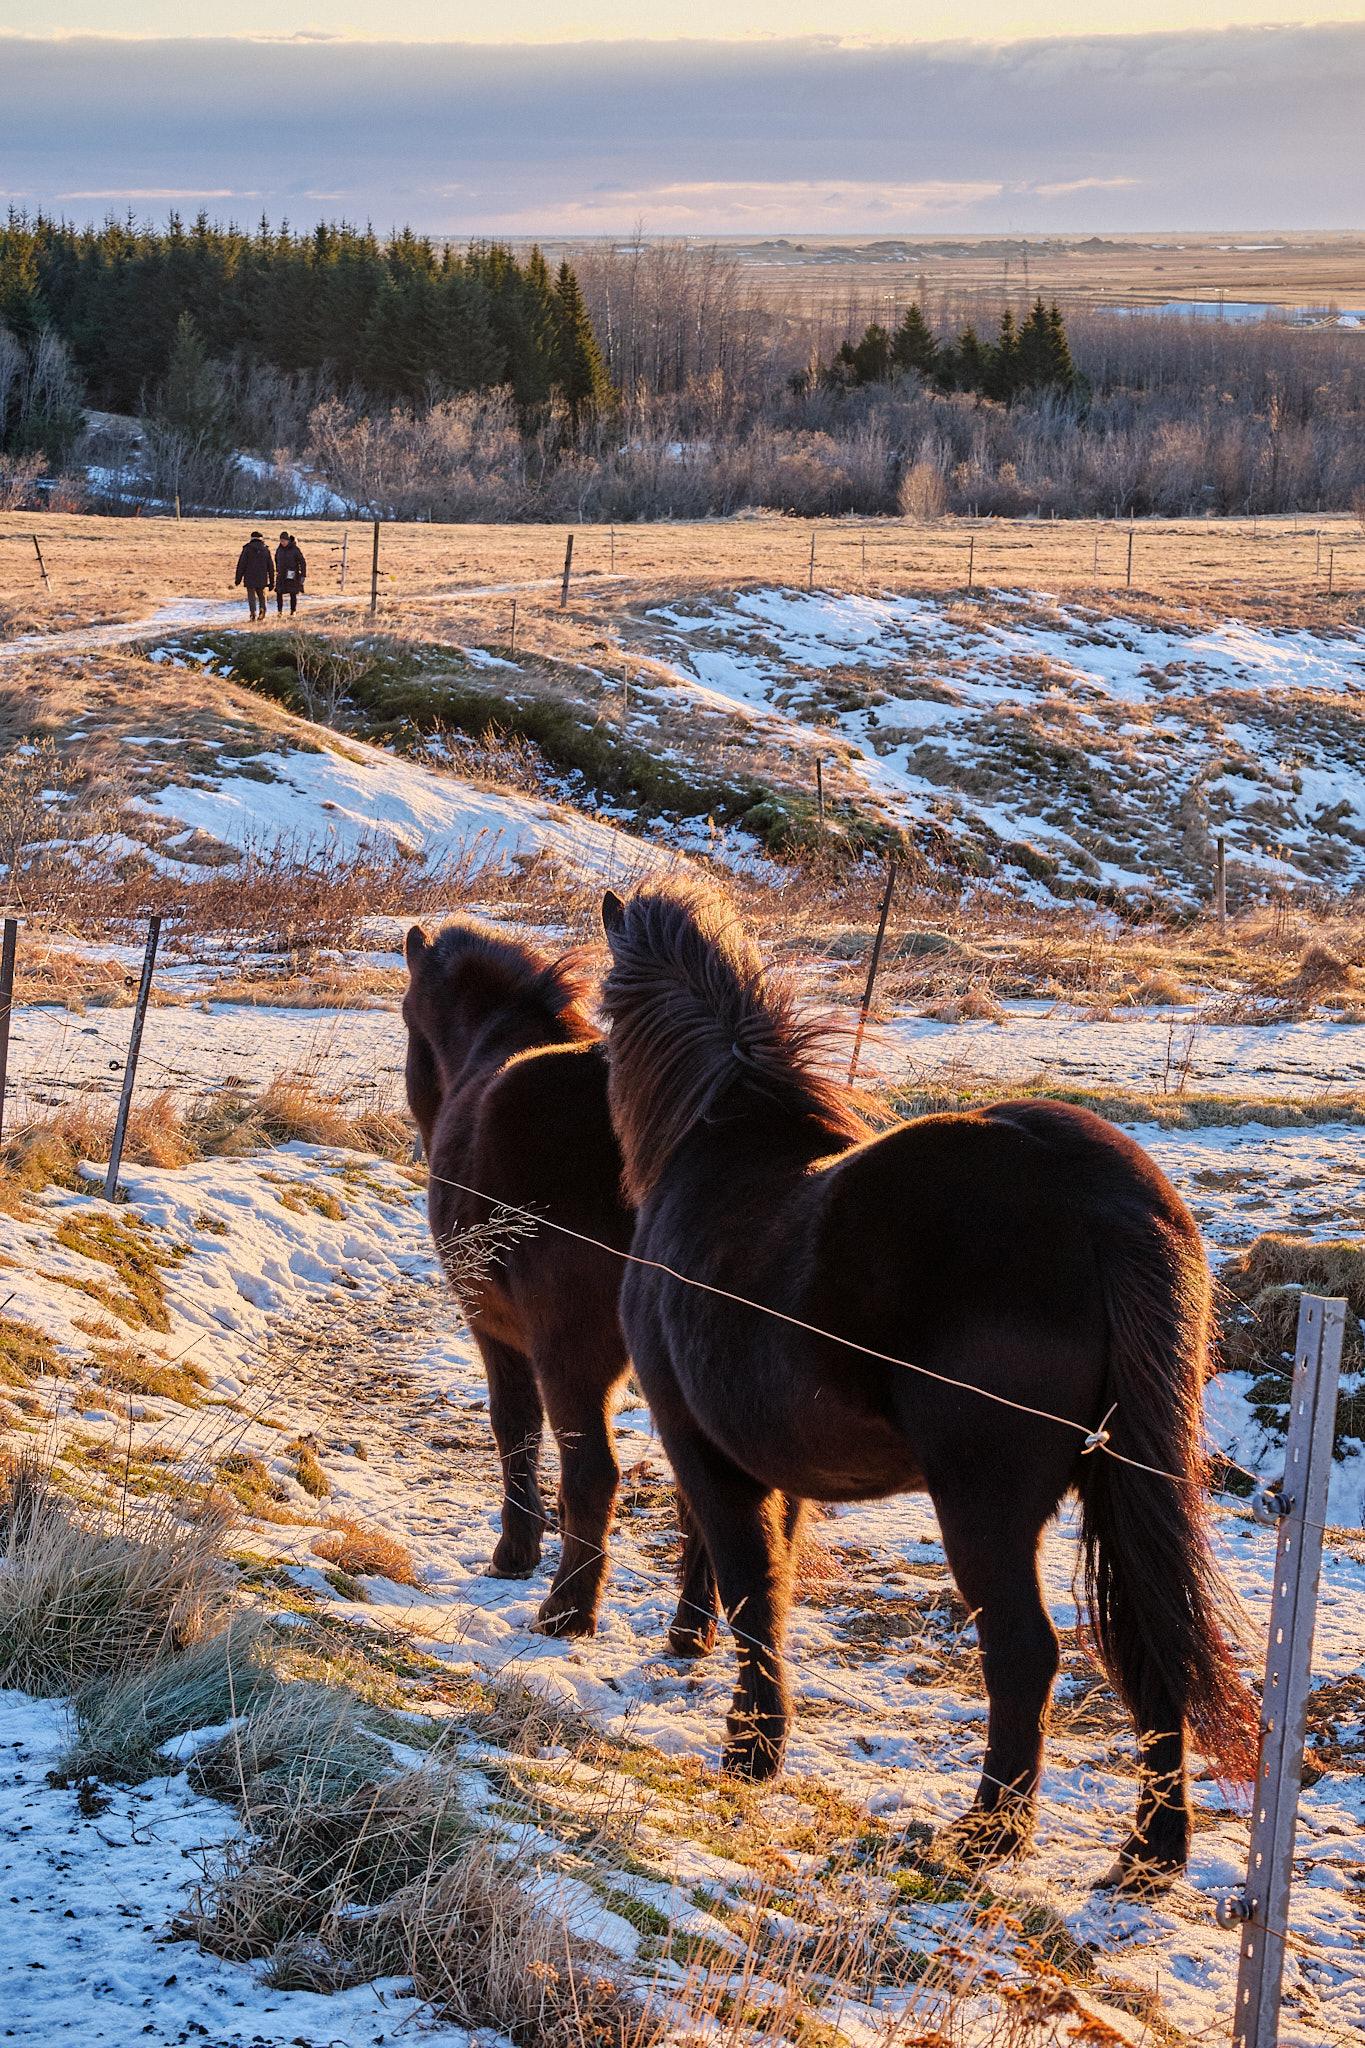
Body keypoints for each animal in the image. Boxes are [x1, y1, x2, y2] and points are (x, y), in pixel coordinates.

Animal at [403, 916, 719, 1647]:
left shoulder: (495, 1330)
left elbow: (513, 1425)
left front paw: (516, 1550)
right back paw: (691, 1629)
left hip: (571, 1353)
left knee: (593, 1471)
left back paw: (568, 1610)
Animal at [597, 876, 1256, 1891]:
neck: (719, 1149)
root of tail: (1097, 1198)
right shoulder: (777, 1469)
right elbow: (770, 1584)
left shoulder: (703, 1448)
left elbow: (749, 1586)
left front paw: (750, 1752)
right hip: (1124, 1483)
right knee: (1153, 1649)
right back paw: (1147, 1854)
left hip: (981, 1503)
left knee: (1024, 1655)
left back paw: (987, 1833)